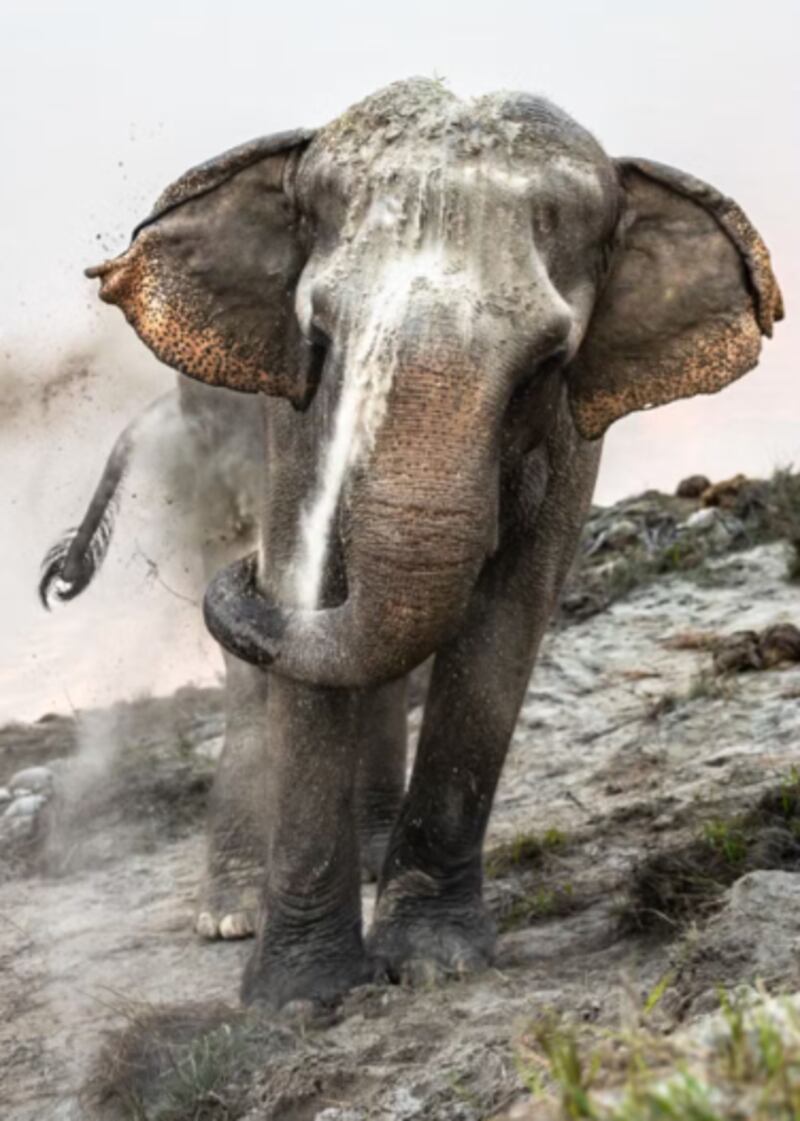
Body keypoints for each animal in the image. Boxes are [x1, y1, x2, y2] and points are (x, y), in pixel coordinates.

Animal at [76, 77, 781, 1008]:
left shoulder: (575, 428)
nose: (241, 568)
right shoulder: (292, 419)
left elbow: (510, 614)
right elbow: (307, 586)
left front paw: (432, 965)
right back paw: (231, 912)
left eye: (546, 362)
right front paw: (298, 999)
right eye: (320, 337)